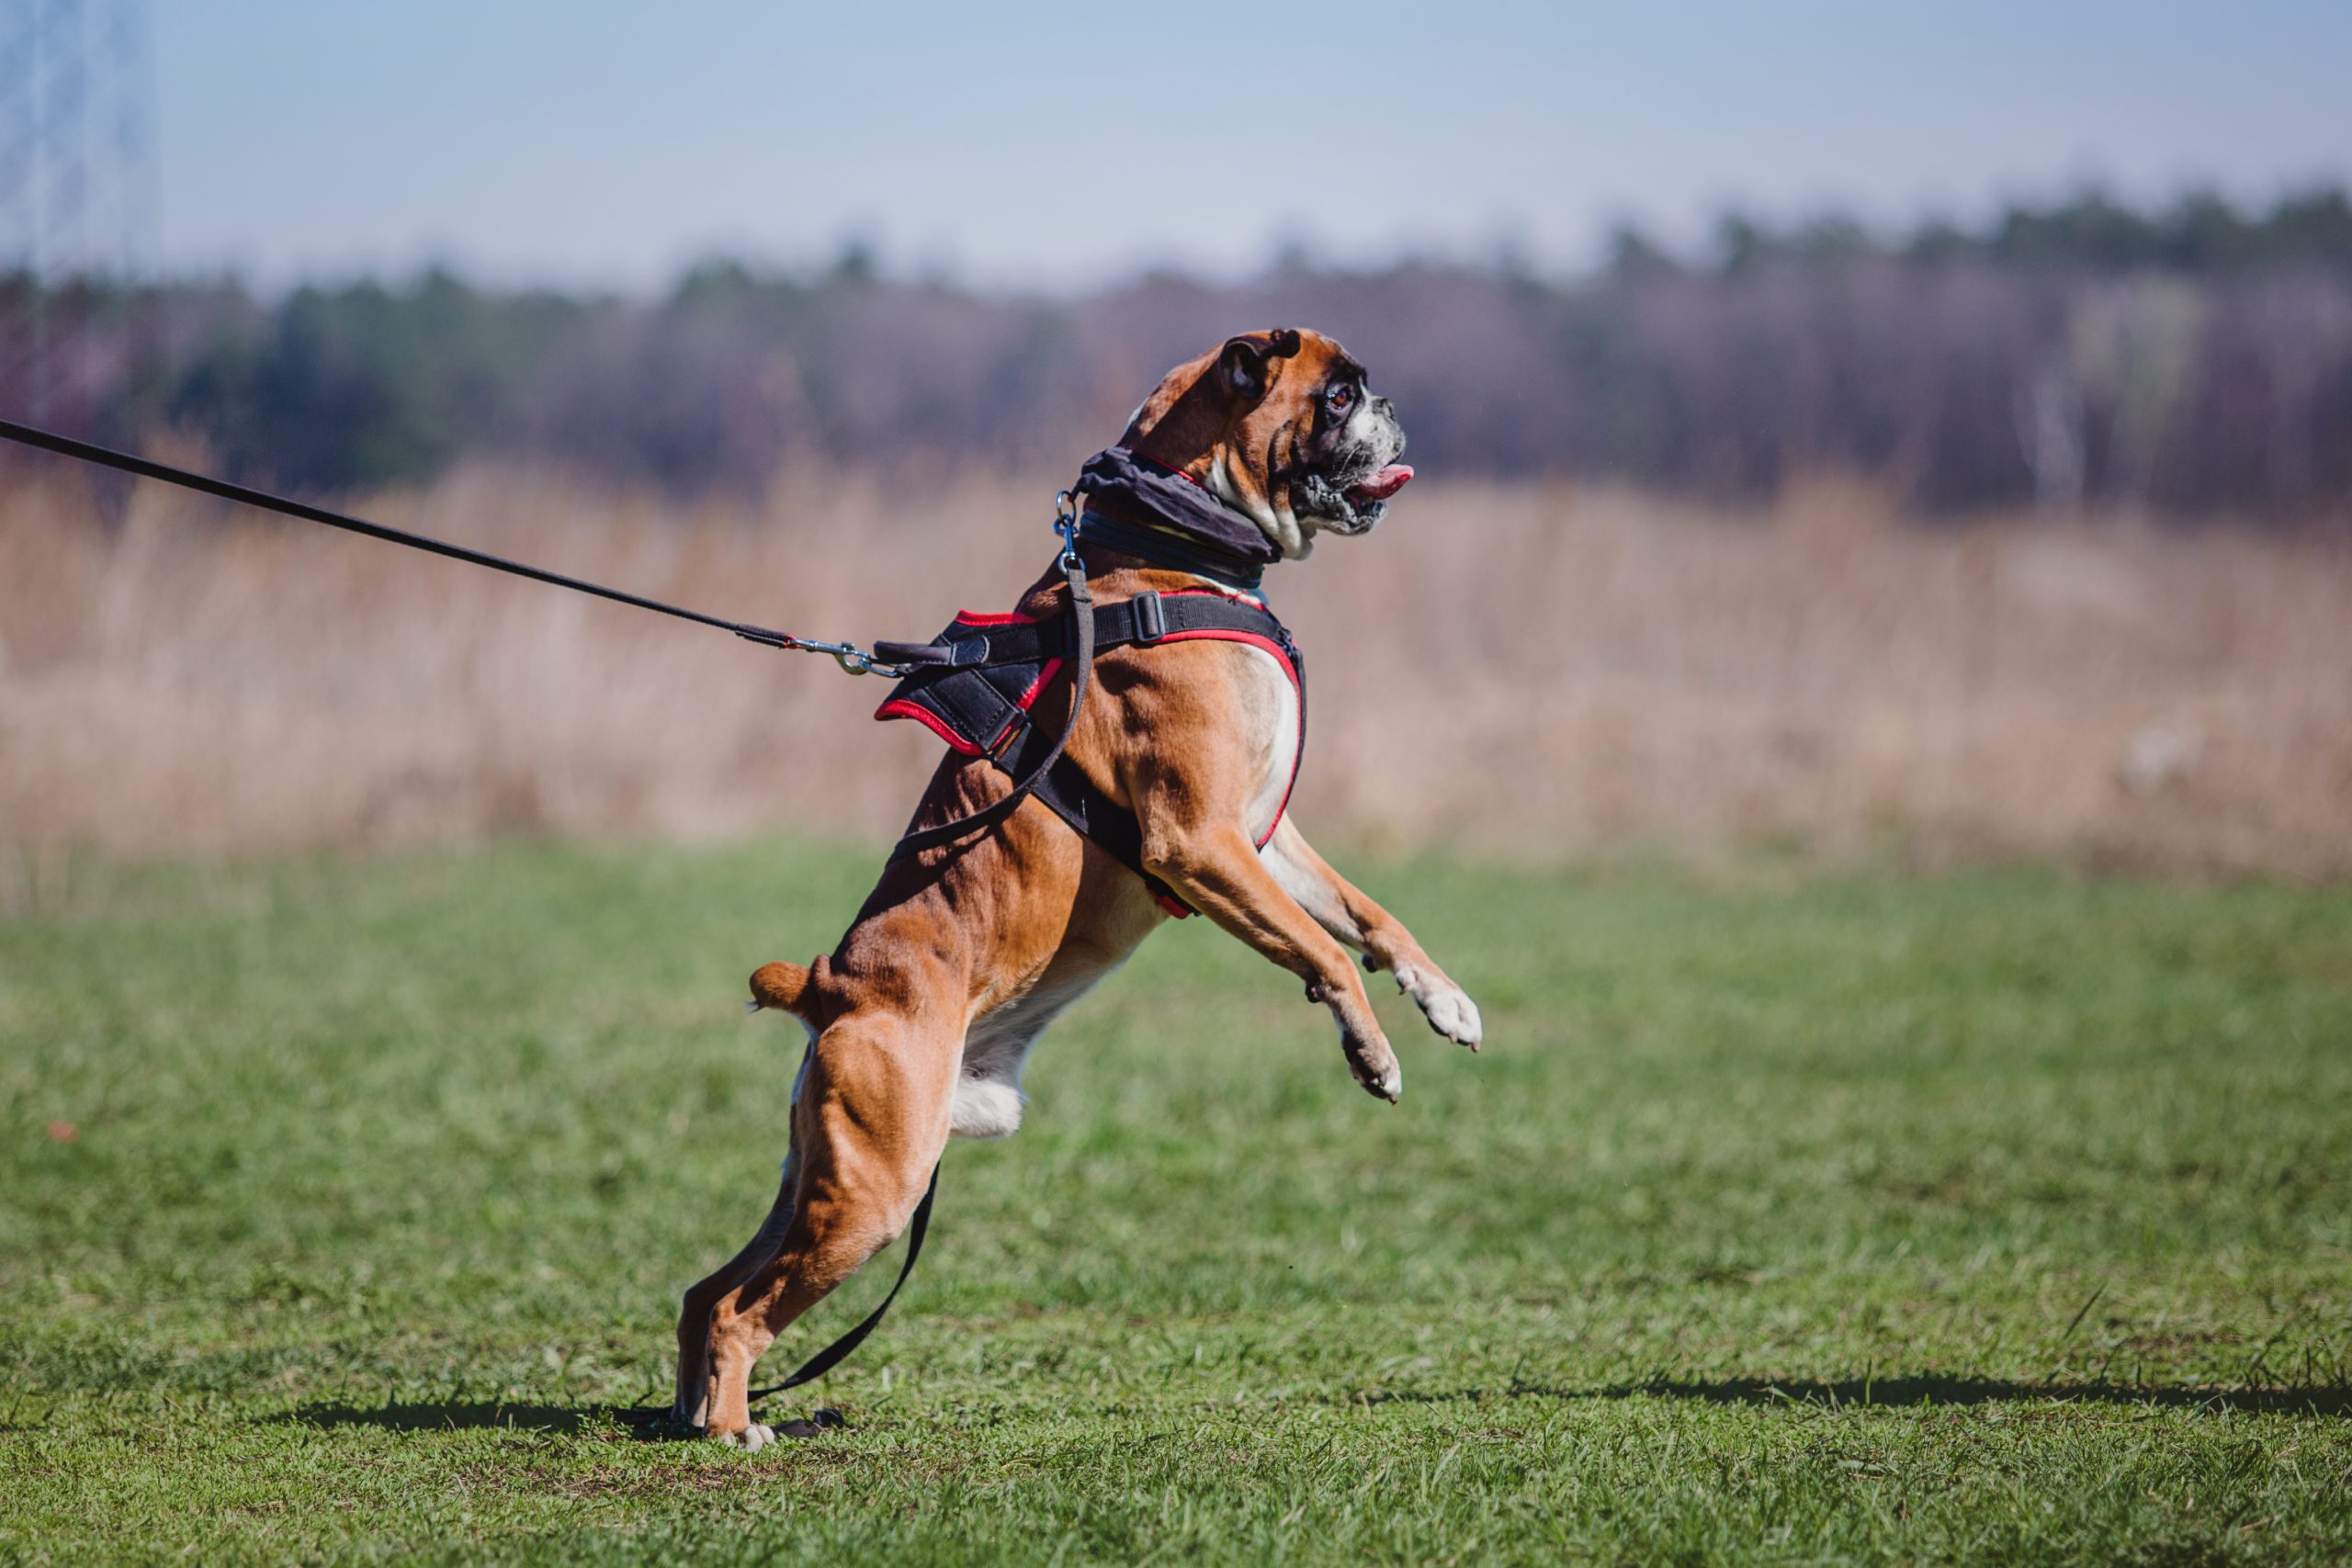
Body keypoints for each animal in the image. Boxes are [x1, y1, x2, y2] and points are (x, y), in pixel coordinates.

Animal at [662, 329, 1476, 1448]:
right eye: (1341, 394)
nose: (1394, 406)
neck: (1168, 540)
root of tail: (830, 985)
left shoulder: (1261, 839)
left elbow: (1363, 916)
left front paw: (1443, 997)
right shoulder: (1199, 843)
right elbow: (1321, 953)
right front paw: (1371, 1052)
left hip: (818, 1177)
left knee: (704, 1291)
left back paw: (691, 1414)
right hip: (873, 1188)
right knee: (744, 1307)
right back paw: (736, 1427)